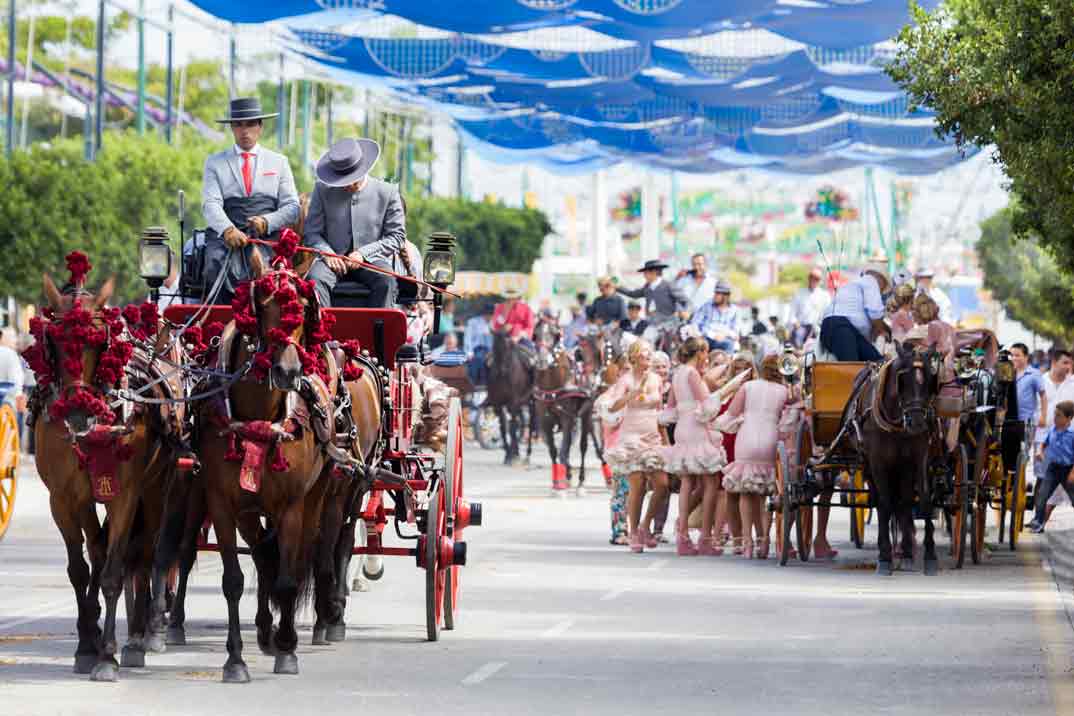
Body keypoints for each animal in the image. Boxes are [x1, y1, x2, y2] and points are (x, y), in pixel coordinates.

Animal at [30, 270, 176, 682]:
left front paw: (107, 655)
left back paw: (140, 636)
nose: (78, 414)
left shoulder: (124, 494)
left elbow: (113, 571)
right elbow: (81, 569)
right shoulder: (64, 499)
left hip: (156, 490)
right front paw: (85, 644)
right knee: (100, 551)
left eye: (98, 340)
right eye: (54, 339)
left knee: (144, 555)